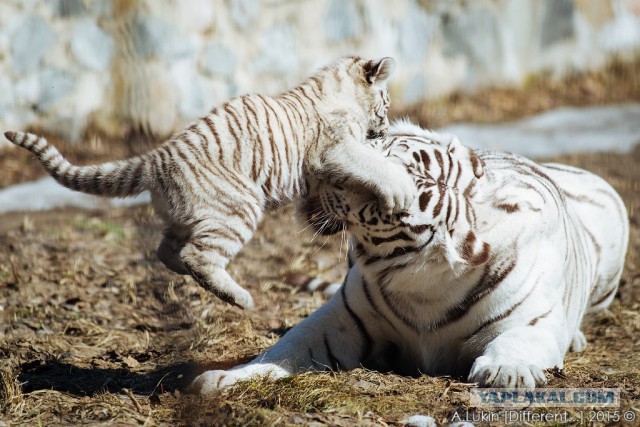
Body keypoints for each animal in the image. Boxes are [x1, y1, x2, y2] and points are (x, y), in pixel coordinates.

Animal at [191, 120, 632, 394]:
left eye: (380, 200)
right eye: (375, 150)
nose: (324, 172)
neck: (425, 288)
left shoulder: (533, 320)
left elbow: (519, 339)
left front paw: (503, 371)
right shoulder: (339, 319)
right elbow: (286, 347)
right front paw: (223, 379)